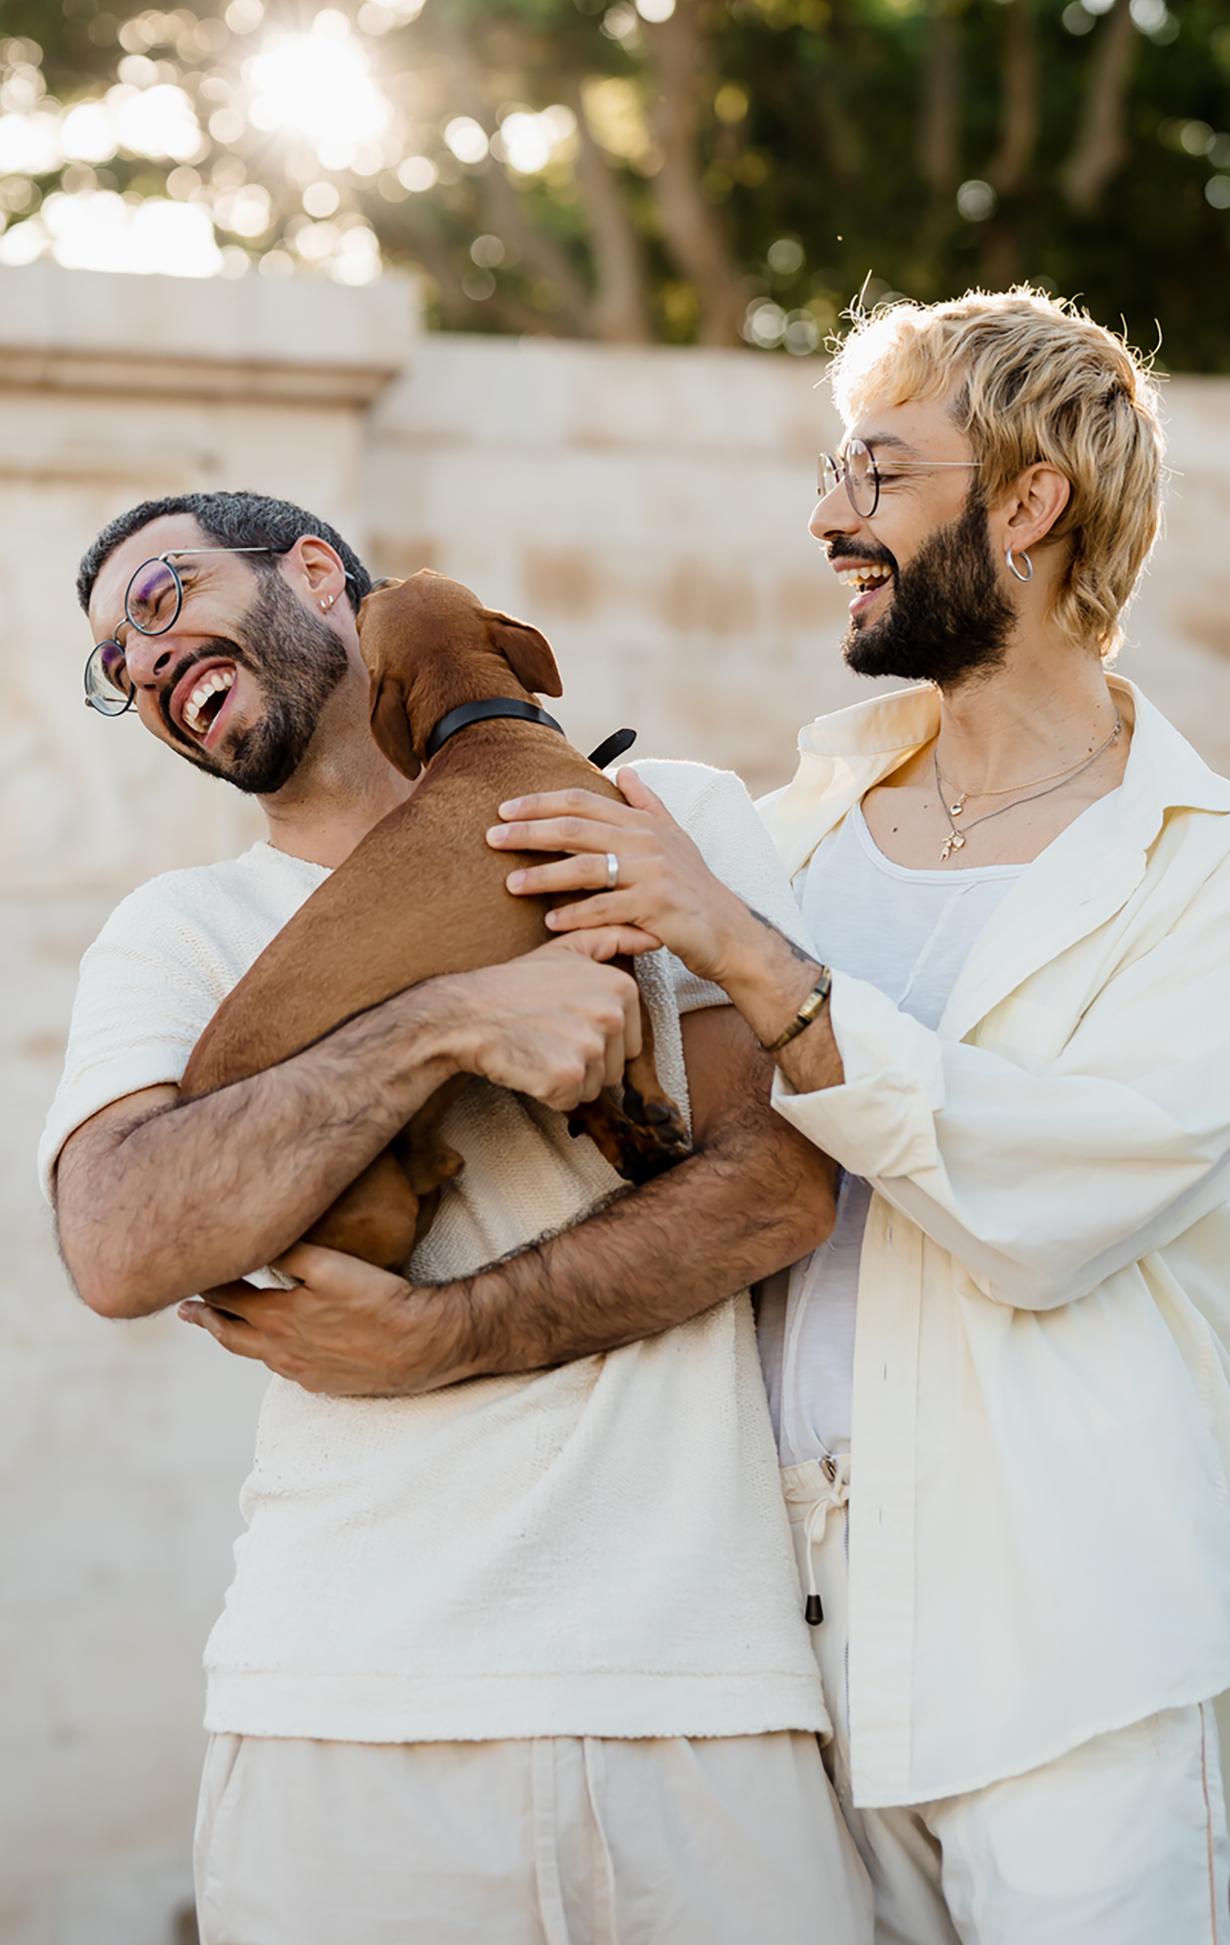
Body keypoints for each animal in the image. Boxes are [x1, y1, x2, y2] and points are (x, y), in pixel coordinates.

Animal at [178, 570, 691, 1273]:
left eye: (409, 583)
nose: (375, 577)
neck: (483, 729)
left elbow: (595, 1088)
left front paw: (622, 1132)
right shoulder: (603, 917)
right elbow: (638, 1021)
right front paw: (652, 1105)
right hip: (379, 1210)